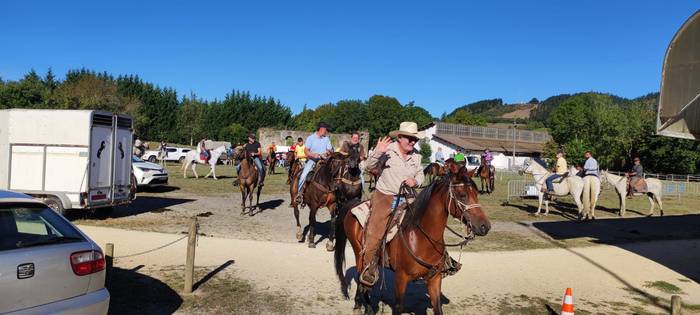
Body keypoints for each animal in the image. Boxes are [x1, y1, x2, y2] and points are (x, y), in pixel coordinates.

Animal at [334, 164, 492, 314]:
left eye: (476, 193)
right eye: (462, 194)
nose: (485, 226)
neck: (422, 238)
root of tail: (354, 204)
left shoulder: (435, 279)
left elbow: (437, 308)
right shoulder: (401, 278)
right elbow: (398, 307)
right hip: (359, 252)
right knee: (361, 275)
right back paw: (361, 305)